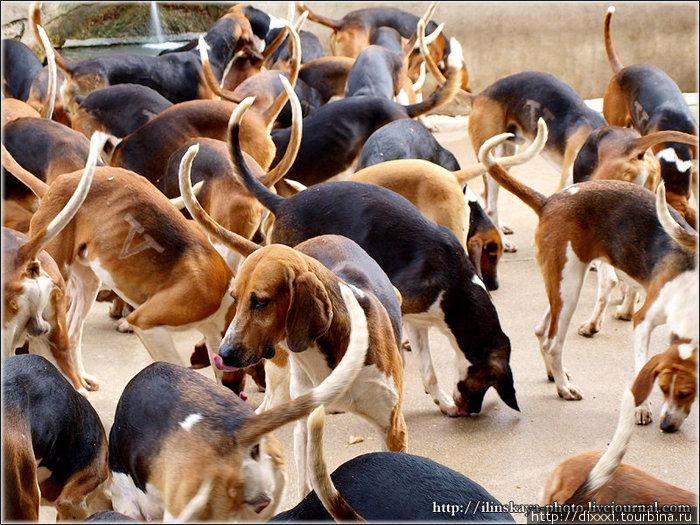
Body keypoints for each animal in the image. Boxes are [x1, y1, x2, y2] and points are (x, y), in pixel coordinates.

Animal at [482, 119, 700, 426]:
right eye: (668, 388)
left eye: (686, 393)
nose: (669, 425)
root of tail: (549, 201)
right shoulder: (643, 320)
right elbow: (641, 363)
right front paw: (641, 407)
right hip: (570, 286)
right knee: (553, 341)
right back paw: (564, 387)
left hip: (563, 284)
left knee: (542, 330)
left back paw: (556, 374)